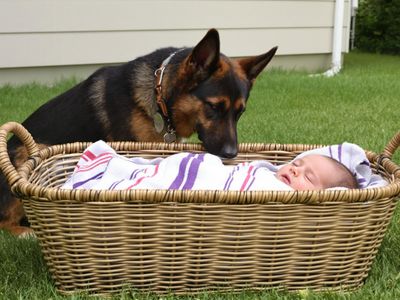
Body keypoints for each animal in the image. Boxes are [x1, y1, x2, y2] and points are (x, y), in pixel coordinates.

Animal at [0, 28, 276, 234]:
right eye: (213, 107)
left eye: (240, 112)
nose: (231, 154)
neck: (160, 95)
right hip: (27, 151)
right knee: (5, 221)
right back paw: (25, 233)